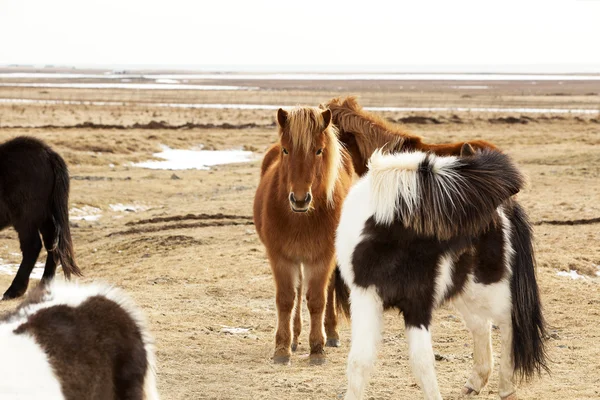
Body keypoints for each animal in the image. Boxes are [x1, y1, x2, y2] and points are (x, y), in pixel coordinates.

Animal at [0, 136, 81, 298]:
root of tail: (48, 154)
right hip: (43, 215)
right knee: (52, 243)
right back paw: (44, 284)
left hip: (26, 218)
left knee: (32, 246)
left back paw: (14, 290)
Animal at [254, 106, 356, 366]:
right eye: (285, 149)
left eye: (318, 150)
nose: (300, 199)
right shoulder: (280, 257)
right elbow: (286, 299)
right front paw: (282, 348)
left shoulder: (322, 258)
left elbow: (317, 299)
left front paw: (317, 348)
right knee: (299, 290)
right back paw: (295, 337)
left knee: (328, 289)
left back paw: (331, 334)